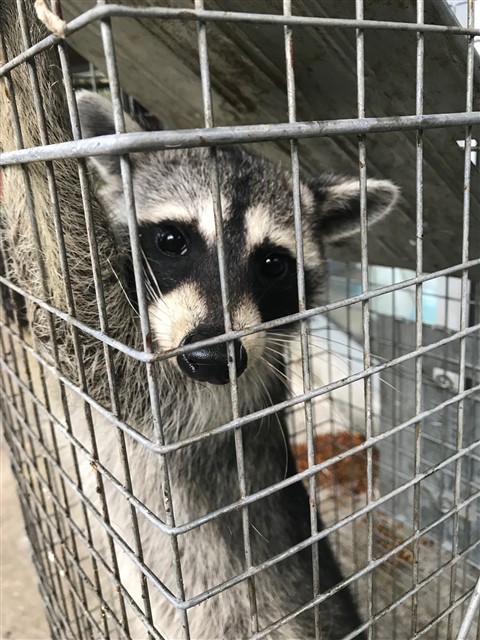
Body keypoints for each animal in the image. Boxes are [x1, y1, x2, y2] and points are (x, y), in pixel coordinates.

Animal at [0, 3, 398, 638]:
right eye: (171, 240)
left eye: (271, 264)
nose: (212, 357)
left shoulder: (205, 400)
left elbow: (79, 324)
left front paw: (22, 55)